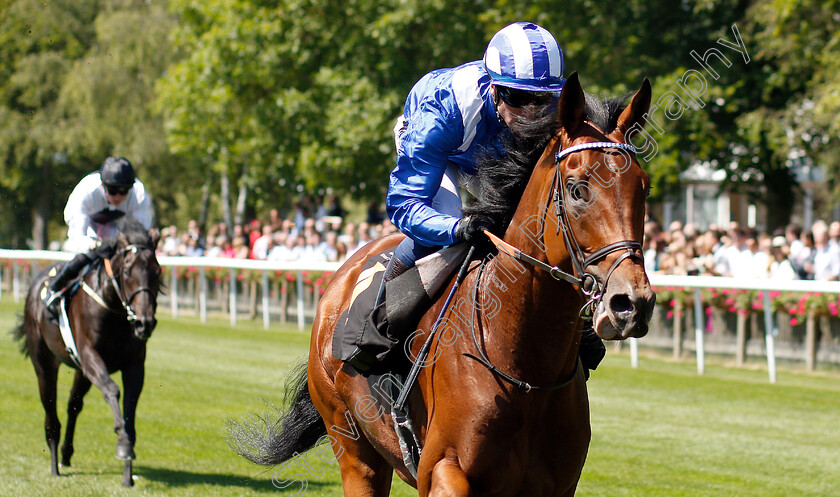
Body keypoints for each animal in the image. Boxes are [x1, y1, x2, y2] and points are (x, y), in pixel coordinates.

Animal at [13, 219, 161, 486]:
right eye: (127, 272)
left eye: (157, 272)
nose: (144, 323)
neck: (113, 307)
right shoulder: (91, 356)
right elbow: (112, 390)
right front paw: (122, 443)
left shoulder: (134, 365)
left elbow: (129, 411)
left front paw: (128, 472)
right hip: (44, 363)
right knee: (50, 412)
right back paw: (54, 465)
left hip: (81, 372)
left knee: (73, 405)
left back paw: (66, 454)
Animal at [231, 71, 656, 494]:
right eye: (578, 189)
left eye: (644, 187)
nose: (631, 302)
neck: (527, 369)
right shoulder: (442, 470)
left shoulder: (559, 484)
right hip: (354, 449)